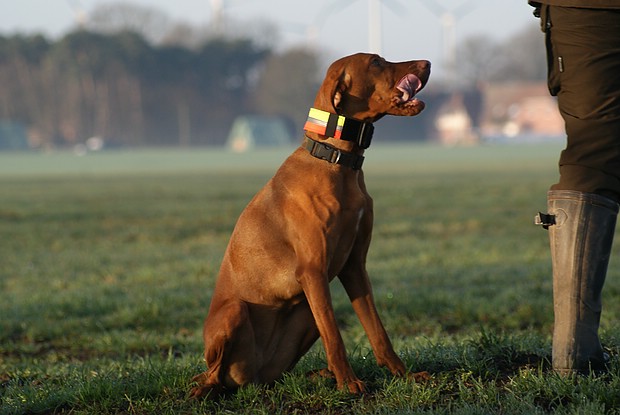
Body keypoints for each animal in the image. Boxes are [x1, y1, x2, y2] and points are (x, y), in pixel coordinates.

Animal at [190, 53, 430, 399]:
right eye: (376, 62)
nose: (427, 64)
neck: (336, 161)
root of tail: (249, 378)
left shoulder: (354, 267)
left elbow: (378, 332)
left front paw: (405, 376)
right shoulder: (313, 271)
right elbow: (335, 336)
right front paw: (349, 383)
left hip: (303, 314)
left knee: (275, 375)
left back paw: (318, 376)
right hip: (236, 311)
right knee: (212, 374)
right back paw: (205, 390)